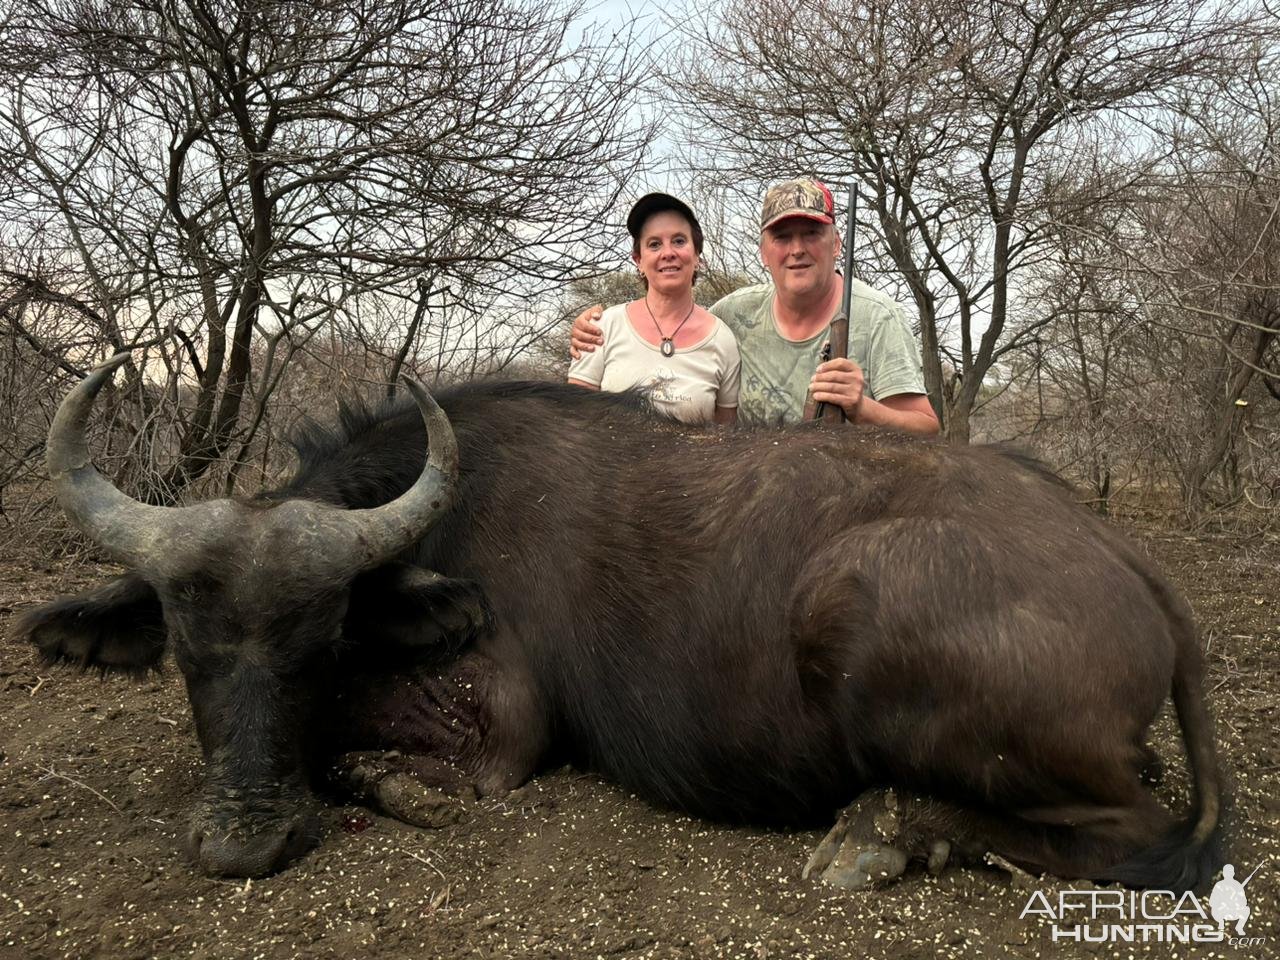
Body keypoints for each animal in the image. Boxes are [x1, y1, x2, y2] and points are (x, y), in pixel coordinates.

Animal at [15, 350, 1223, 885]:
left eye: (320, 642)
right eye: (187, 655)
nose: (243, 843)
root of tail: (1128, 564)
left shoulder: (496, 734)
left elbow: (360, 755)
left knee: (1129, 832)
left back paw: (883, 833)